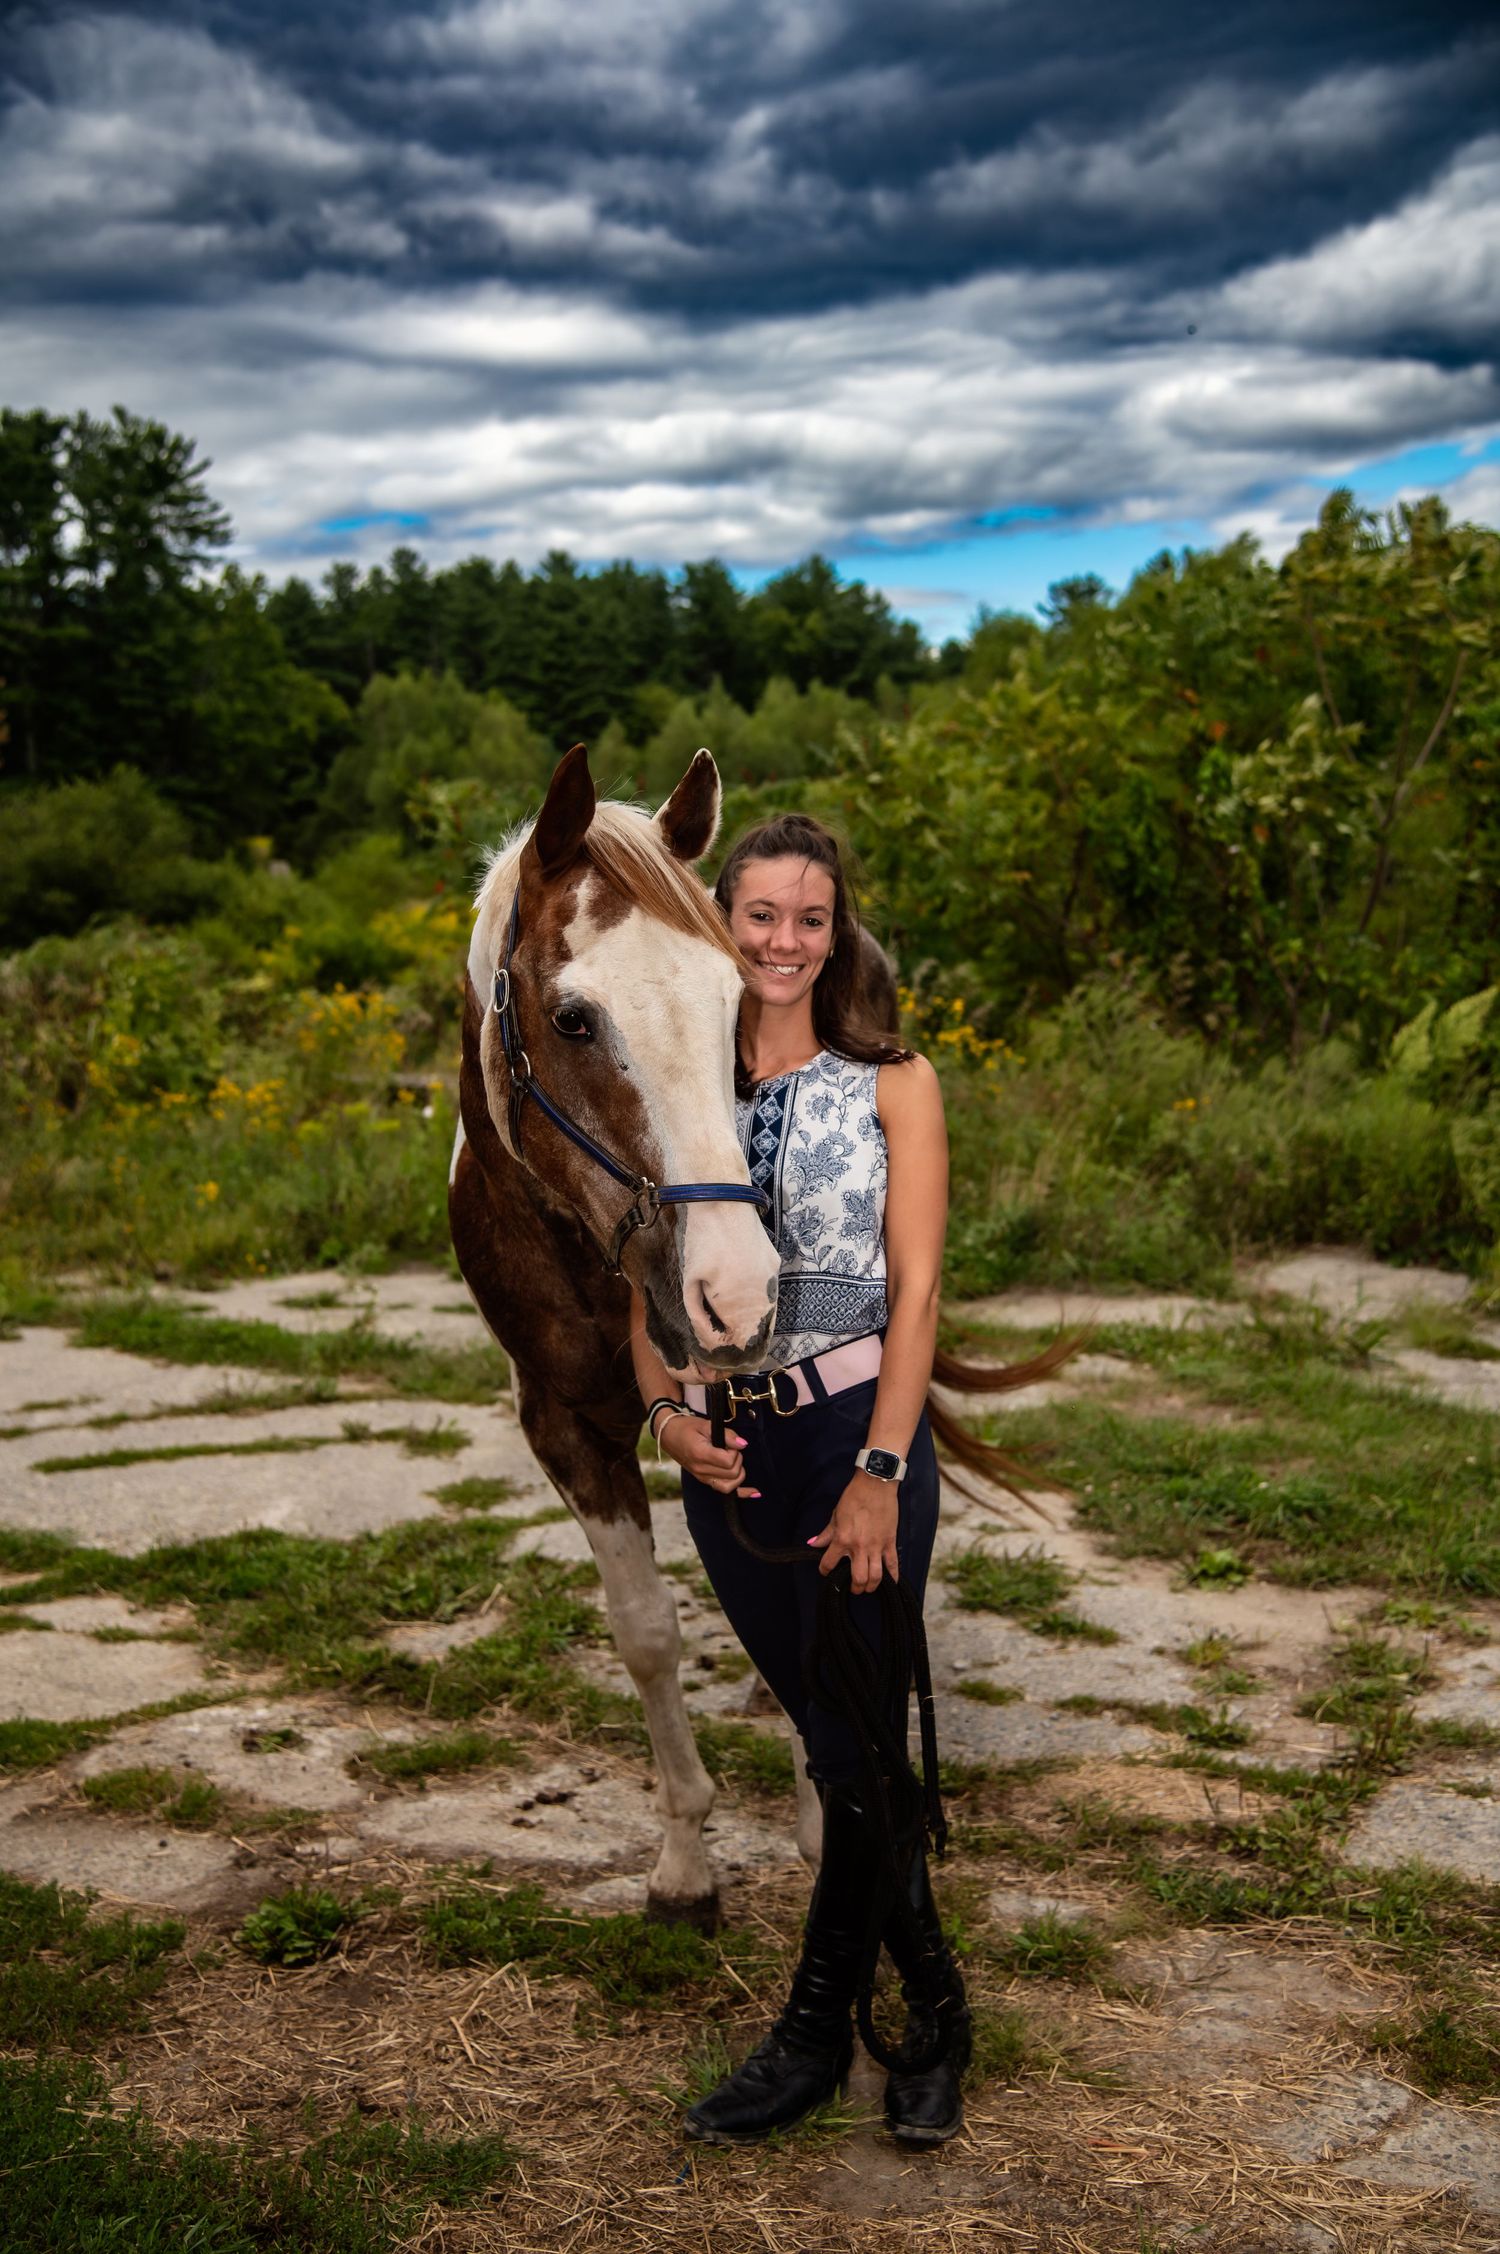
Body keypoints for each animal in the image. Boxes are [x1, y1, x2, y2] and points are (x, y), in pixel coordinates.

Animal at [450, 744, 1069, 1929]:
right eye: (573, 1019)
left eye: (736, 1000)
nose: (737, 1296)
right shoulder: (563, 1421)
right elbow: (648, 1629)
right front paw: (685, 1863)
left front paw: (821, 1819)